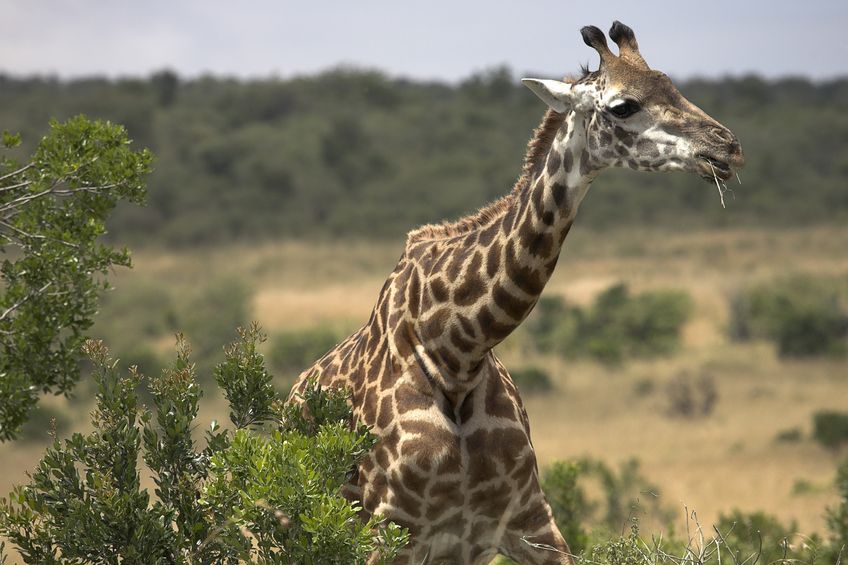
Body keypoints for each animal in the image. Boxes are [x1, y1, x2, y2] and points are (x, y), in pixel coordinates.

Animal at [286, 22, 744, 564]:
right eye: (623, 106)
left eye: (671, 84)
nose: (727, 147)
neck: (457, 351)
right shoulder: (388, 533)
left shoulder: (527, 523)